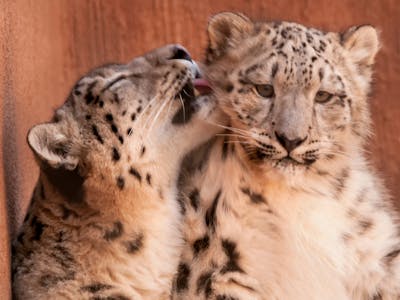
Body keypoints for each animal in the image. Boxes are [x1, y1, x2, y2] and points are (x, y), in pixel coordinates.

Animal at [173, 12, 400, 300]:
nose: (291, 139)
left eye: (323, 95)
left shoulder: (378, 255)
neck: (294, 196)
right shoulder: (217, 271)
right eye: (264, 89)